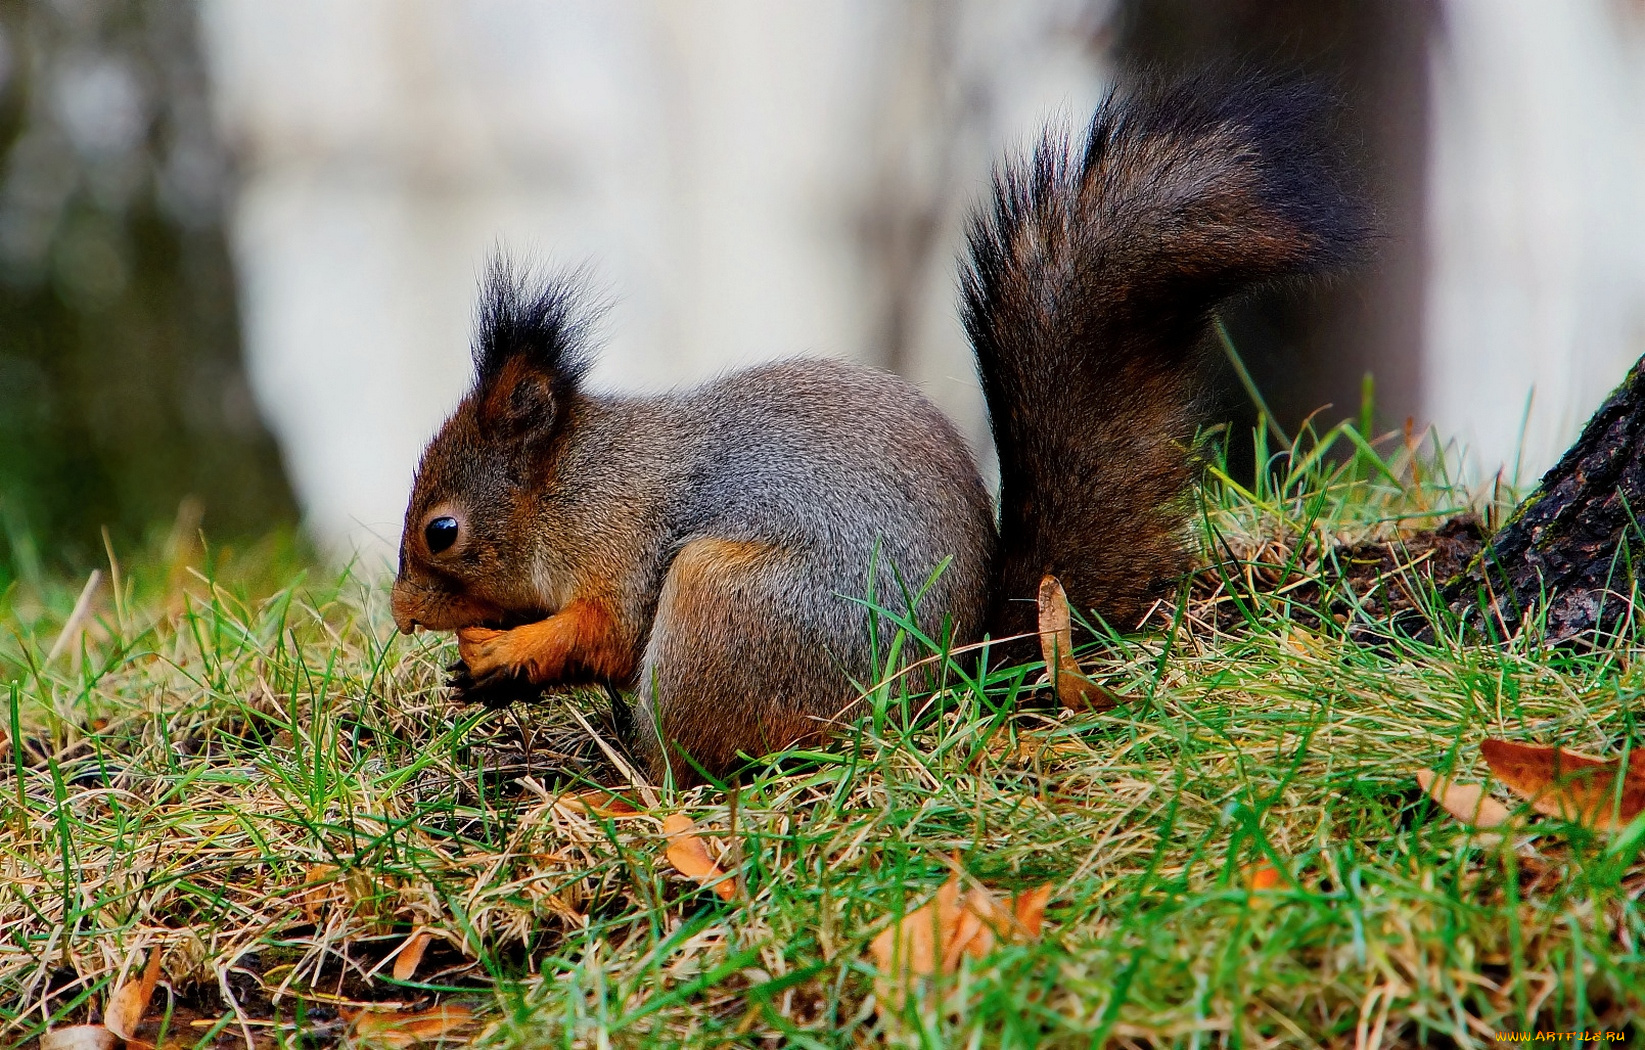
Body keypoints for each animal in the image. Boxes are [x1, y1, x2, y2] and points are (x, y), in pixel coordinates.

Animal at [391, 74, 1368, 786]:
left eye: (442, 531)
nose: (399, 616)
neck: (571, 483)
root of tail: (951, 677)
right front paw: (480, 675)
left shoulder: (622, 541)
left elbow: (605, 631)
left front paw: (506, 651)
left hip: (729, 612)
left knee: (705, 762)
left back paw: (635, 792)